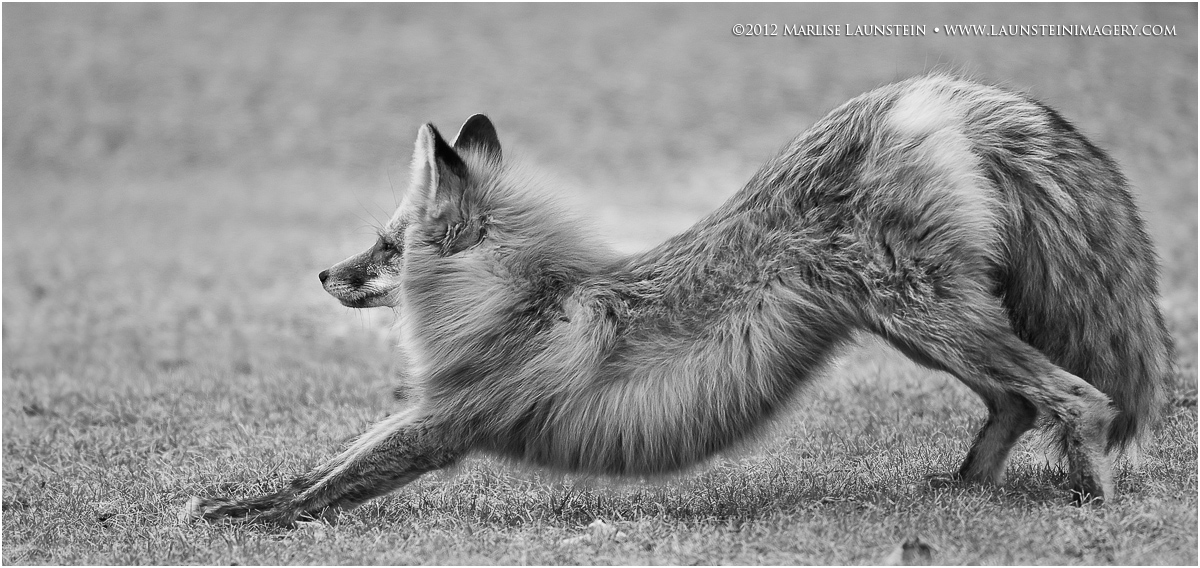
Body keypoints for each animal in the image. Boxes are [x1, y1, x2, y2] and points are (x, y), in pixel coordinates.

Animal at [183, 75, 1172, 526]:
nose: (324, 276)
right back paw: (966, 486)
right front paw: (236, 501)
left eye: (387, 248)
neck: (517, 304)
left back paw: (1090, 498)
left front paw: (253, 521)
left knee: (1079, 395)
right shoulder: (435, 406)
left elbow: (335, 486)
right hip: (922, 327)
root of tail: (921, 96)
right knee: (1017, 401)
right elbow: (321, 467)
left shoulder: (453, 416)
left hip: (928, 316)